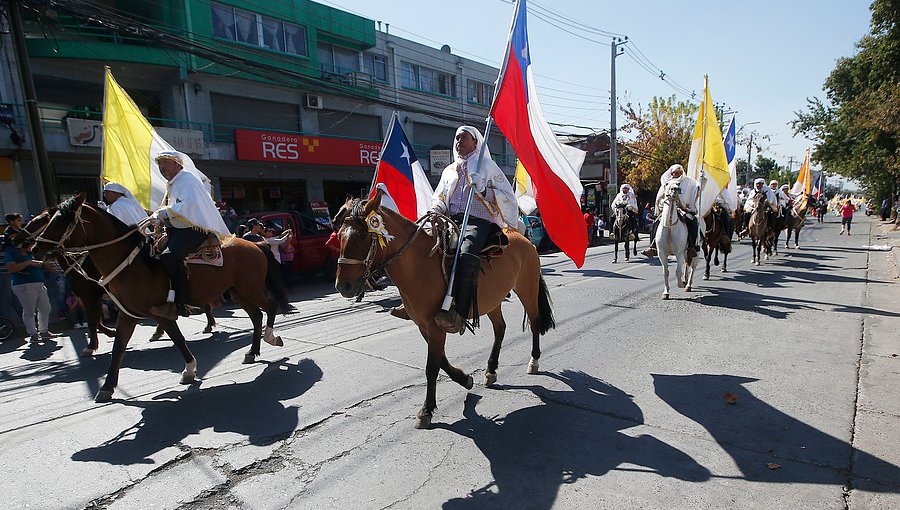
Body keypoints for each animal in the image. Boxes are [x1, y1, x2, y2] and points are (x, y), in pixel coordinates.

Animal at [32, 195, 288, 402]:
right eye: (47, 220)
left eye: (59, 221)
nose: (34, 248)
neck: (132, 264)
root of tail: (257, 243)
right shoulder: (127, 313)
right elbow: (118, 348)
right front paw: (106, 387)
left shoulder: (160, 311)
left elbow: (178, 339)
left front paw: (189, 370)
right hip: (238, 291)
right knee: (256, 316)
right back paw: (252, 352)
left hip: (250, 289)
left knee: (270, 307)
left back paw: (271, 338)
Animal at [334, 191, 552, 430]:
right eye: (339, 236)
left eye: (363, 237)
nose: (343, 286)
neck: (421, 266)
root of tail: (524, 239)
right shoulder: (424, 325)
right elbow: (441, 360)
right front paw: (465, 379)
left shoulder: (435, 326)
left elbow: (432, 366)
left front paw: (426, 410)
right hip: (493, 301)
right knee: (500, 329)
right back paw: (491, 370)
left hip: (527, 289)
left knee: (534, 322)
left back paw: (534, 361)